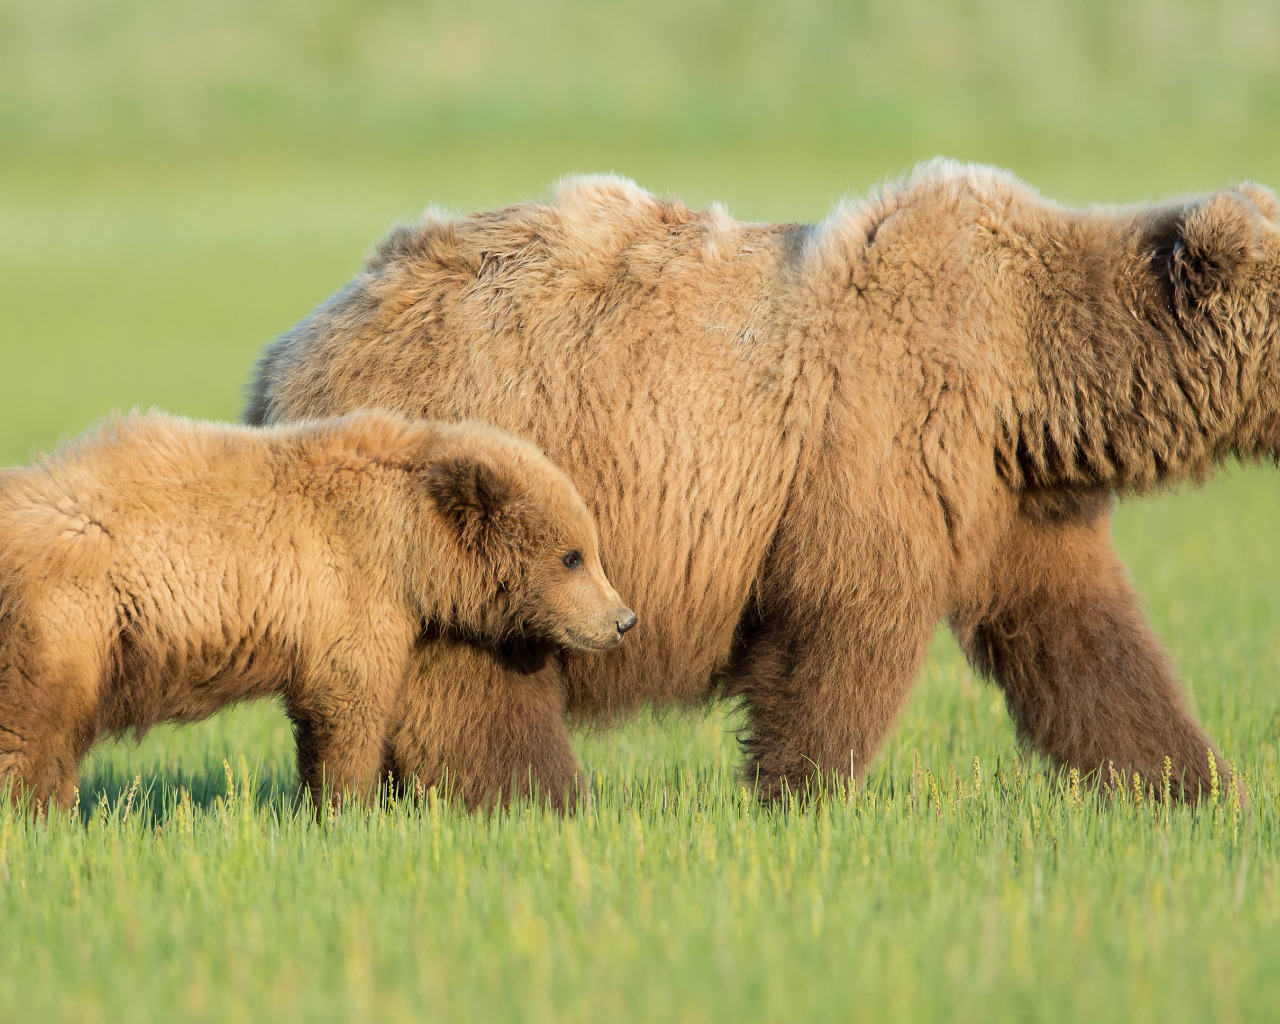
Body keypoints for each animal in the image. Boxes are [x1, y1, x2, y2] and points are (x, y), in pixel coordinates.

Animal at [247, 160, 1280, 803]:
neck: (1031, 374)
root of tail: (286, 352)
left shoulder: (1013, 503)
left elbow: (1086, 644)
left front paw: (1196, 788)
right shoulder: (881, 437)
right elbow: (844, 625)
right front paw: (799, 795)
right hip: (481, 493)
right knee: (479, 679)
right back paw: (541, 798)